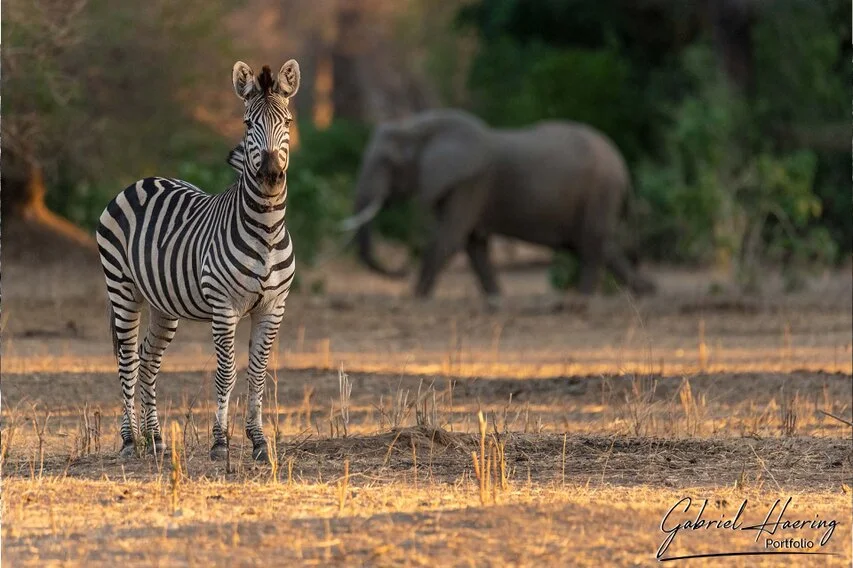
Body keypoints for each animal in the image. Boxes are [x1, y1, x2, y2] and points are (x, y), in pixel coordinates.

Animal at [95, 60, 300, 462]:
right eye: (247, 124)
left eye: (286, 121)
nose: (271, 174)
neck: (267, 230)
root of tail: (144, 180)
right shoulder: (224, 306)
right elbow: (226, 373)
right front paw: (220, 443)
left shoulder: (274, 307)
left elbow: (257, 374)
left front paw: (259, 442)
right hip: (122, 288)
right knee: (127, 360)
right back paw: (129, 441)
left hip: (162, 305)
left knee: (148, 360)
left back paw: (155, 440)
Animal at [340, 109, 656, 300]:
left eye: (389, 163)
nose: (400, 270)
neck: (419, 126)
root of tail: (622, 165)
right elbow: (474, 246)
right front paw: (497, 298)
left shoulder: (471, 181)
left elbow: (449, 239)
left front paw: (417, 298)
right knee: (602, 247)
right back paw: (649, 292)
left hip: (601, 191)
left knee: (591, 249)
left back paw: (584, 299)